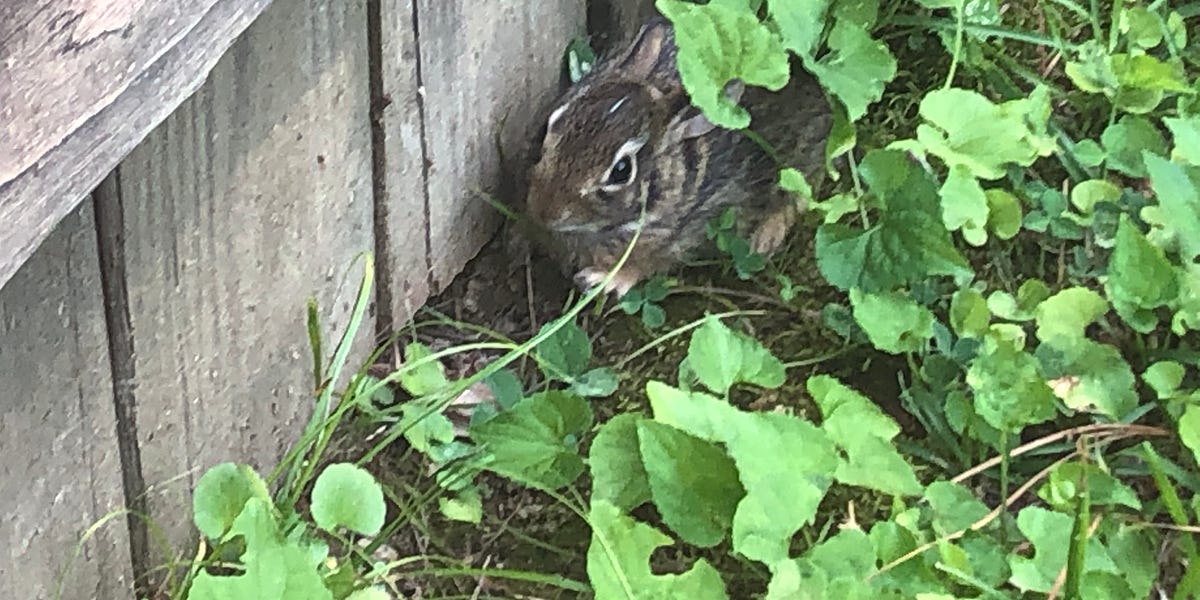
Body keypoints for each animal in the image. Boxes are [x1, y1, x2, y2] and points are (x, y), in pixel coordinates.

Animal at [522, 15, 833, 299]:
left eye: (621, 170)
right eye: (555, 122)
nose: (542, 212)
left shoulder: (683, 231)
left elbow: (645, 264)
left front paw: (604, 280)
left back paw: (765, 238)